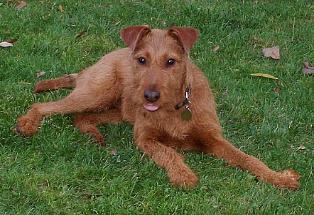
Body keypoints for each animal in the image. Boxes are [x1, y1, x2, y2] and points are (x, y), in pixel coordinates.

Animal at [15, 25, 300, 189]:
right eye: (142, 60)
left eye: (171, 61)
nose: (150, 96)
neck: (176, 106)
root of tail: (89, 67)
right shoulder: (144, 137)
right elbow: (169, 152)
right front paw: (184, 175)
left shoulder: (213, 139)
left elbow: (249, 159)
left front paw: (280, 178)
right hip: (96, 92)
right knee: (45, 105)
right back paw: (27, 124)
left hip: (117, 109)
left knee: (81, 117)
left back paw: (95, 135)